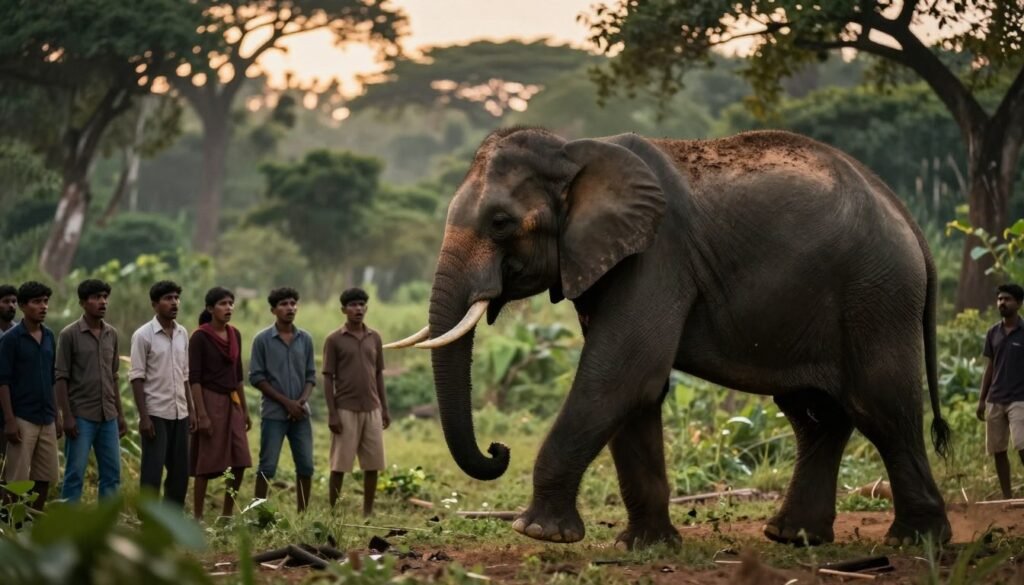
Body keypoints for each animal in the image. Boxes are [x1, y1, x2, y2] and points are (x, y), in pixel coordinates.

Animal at [386, 127, 952, 549]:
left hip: (876, 293)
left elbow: (623, 373)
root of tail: (910, 222)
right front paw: (645, 548)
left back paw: (914, 543)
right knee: (815, 415)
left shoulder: (658, 254)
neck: (576, 150)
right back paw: (793, 537)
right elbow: (636, 390)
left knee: (880, 406)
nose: (497, 449)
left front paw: (540, 534)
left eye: (501, 222)